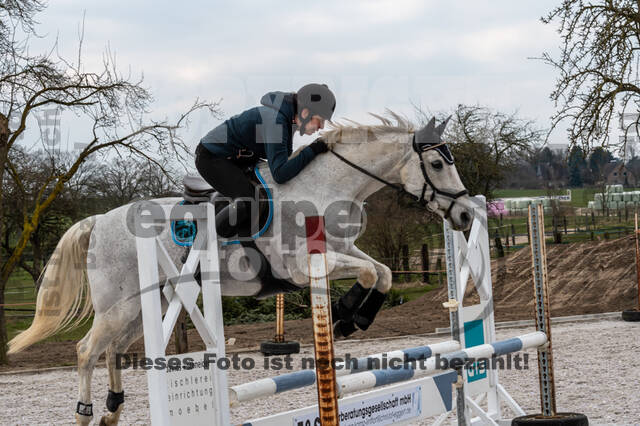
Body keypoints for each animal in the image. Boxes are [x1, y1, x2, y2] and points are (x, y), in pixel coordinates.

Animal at [6, 112, 476, 422]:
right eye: (437, 164)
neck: (324, 187)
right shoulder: (303, 266)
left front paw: (351, 317)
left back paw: (113, 410)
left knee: (114, 350)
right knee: (87, 350)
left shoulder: (345, 250)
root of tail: (99, 220)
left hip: (146, 305)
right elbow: (368, 273)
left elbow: (381, 272)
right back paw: (86, 412)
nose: (466, 215)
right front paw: (345, 315)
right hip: (118, 305)